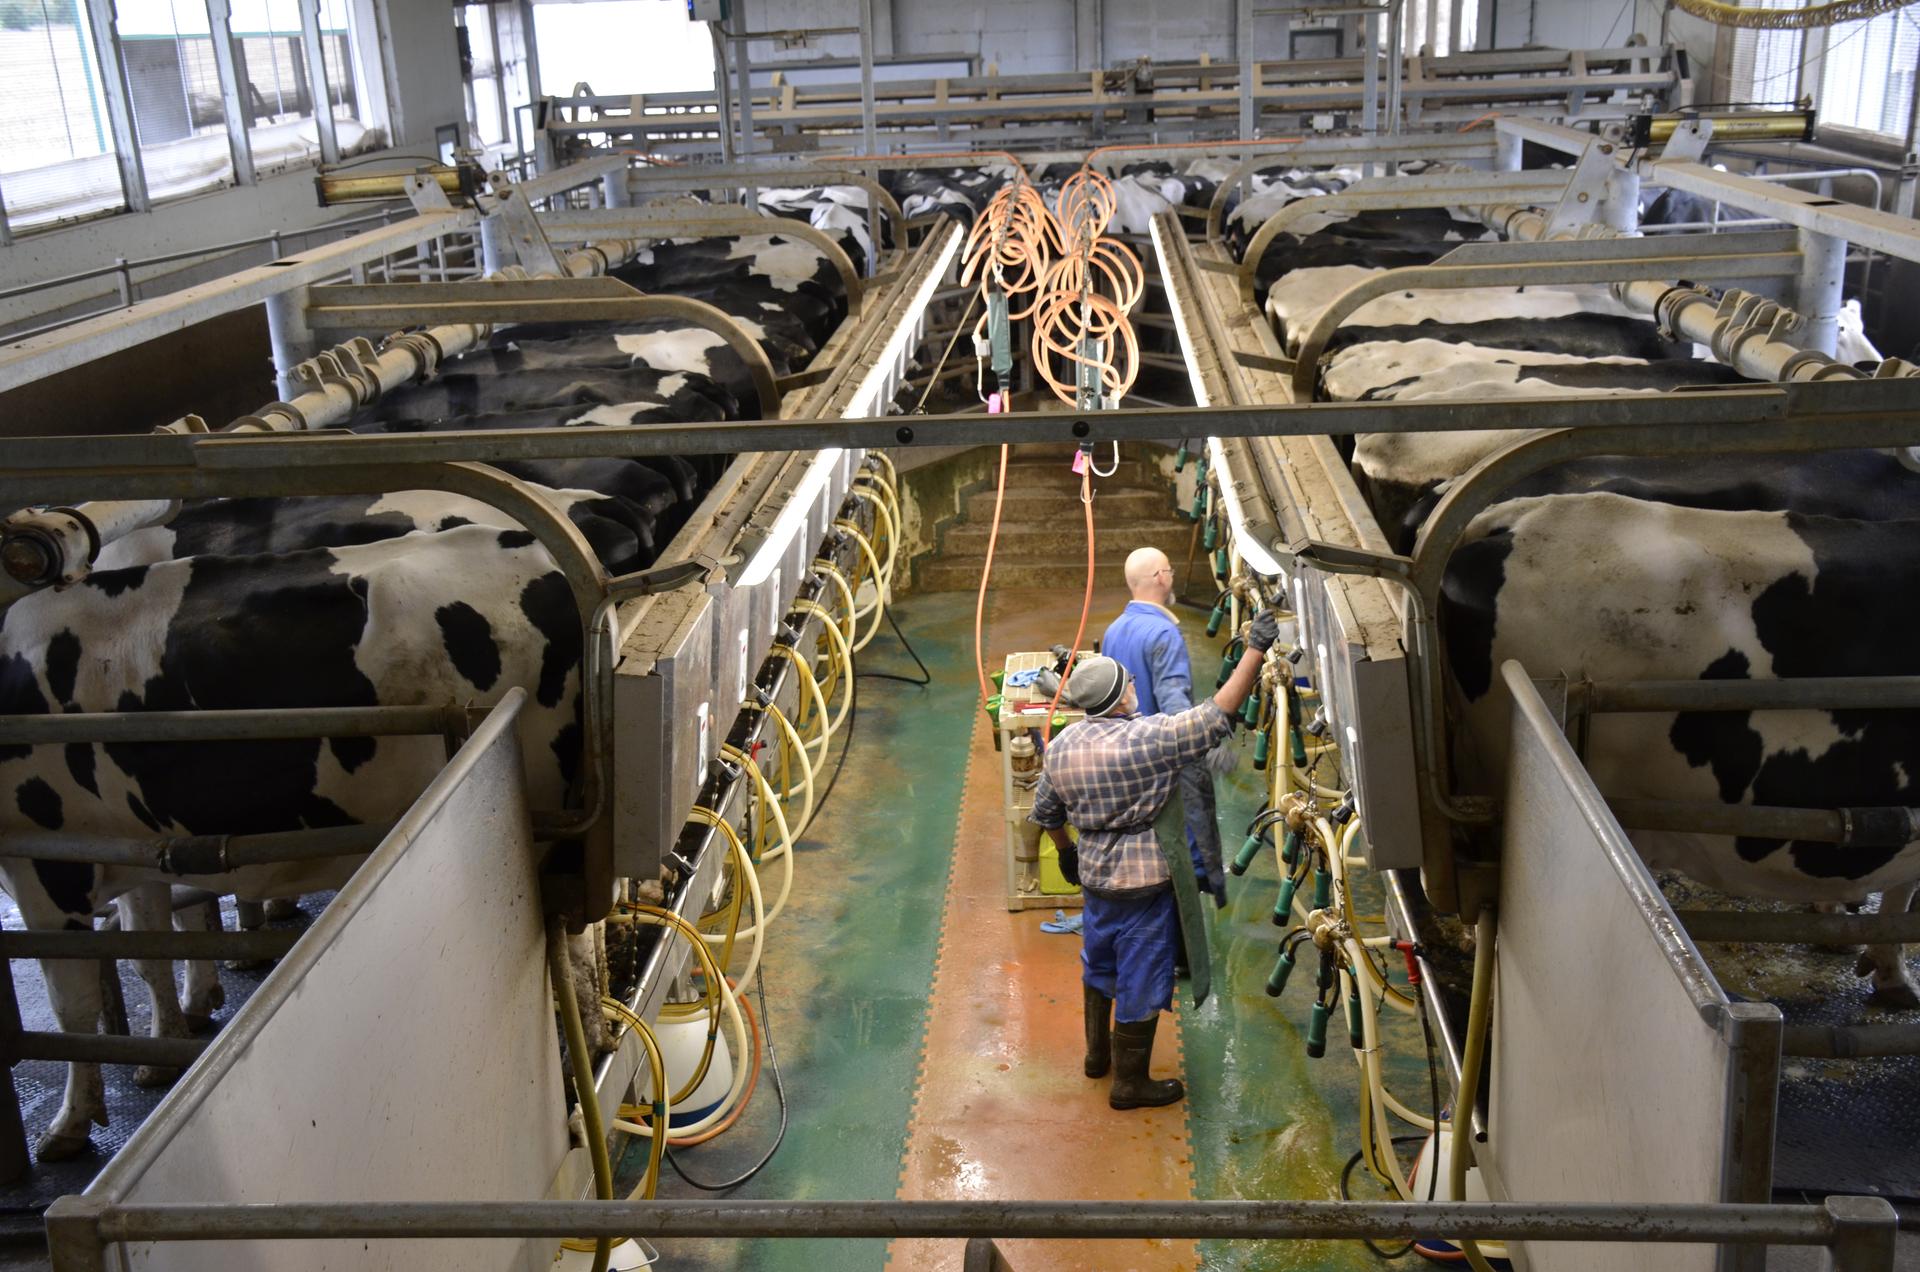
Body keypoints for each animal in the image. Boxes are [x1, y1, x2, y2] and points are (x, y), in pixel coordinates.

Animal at [0, 229, 848, 1168]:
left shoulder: (43, 855)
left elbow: (78, 999)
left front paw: (72, 1120)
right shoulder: (127, 831)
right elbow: (153, 938)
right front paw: (169, 1030)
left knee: (583, 962)